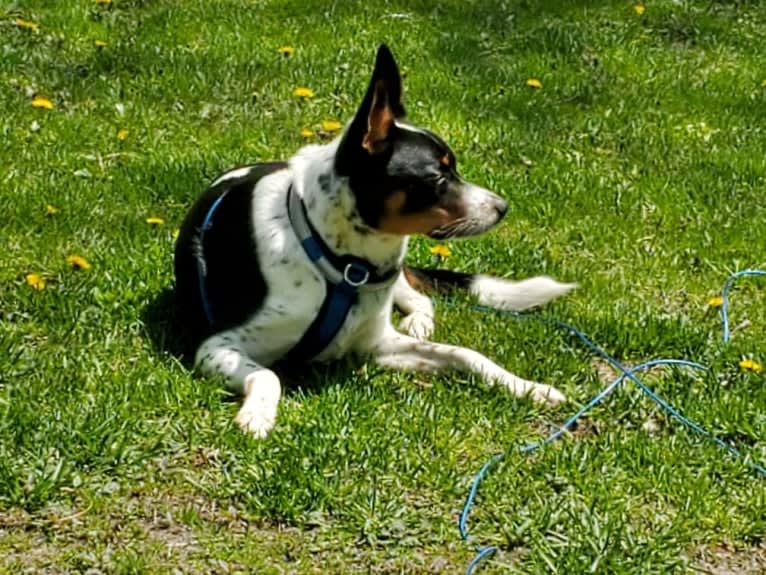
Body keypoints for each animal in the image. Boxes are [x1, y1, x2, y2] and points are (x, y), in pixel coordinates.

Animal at [176, 45, 576, 438]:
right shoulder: (216, 347)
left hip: (395, 279)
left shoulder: (377, 344)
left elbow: (466, 354)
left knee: (419, 296)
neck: (336, 260)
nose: (502, 208)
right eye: (438, 176)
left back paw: (419, 321)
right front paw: (258, 415)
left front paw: (528, 387)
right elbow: (268, 375)